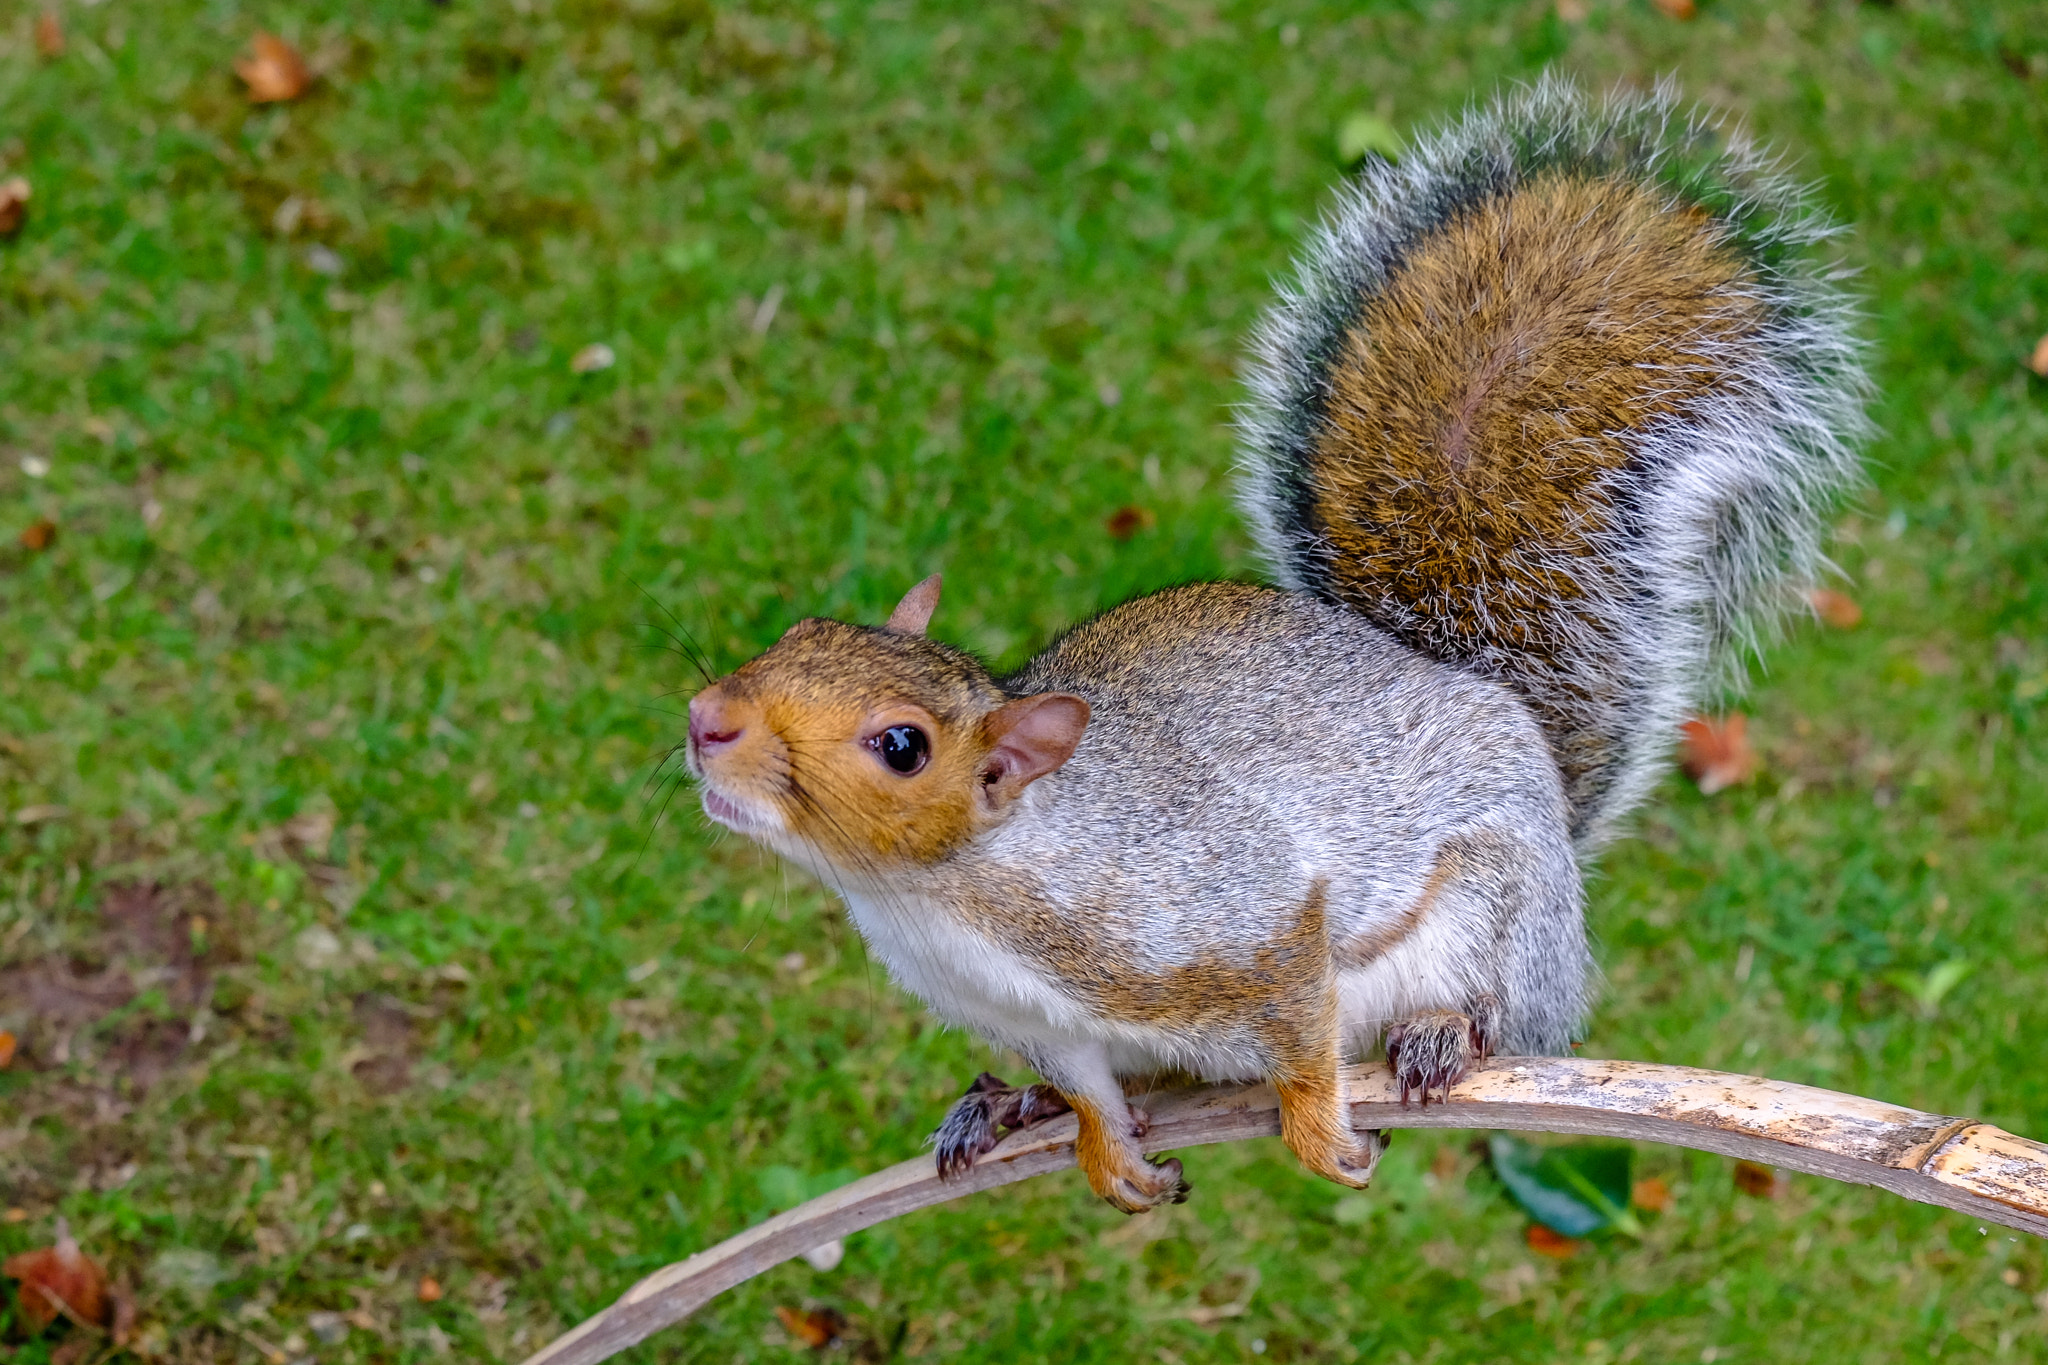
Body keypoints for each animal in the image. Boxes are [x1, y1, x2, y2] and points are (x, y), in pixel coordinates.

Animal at [679, 80, 1867, 1211]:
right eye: (799, 631)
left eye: (902, 747)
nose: (705, 721)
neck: (941, 898)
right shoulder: (1049, 1024)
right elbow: (1089, 1085)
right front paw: (1103, 1146)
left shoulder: (1233, 912)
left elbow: (1297, 1012)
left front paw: (1312, 1122)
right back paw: (1005, 1106)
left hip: (1502, 907)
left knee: (1510, 1010)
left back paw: (1446, 1033)